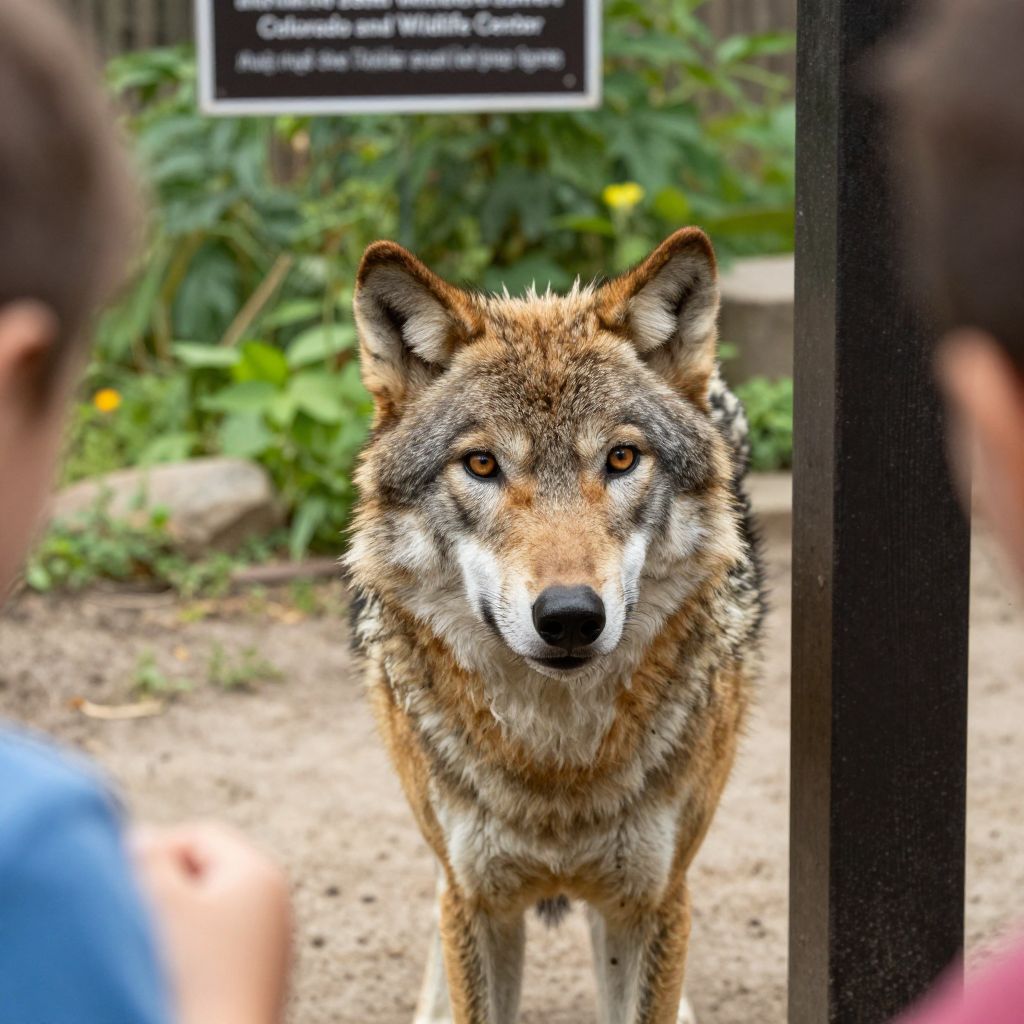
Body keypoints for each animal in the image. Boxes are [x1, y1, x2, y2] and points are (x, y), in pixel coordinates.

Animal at [346, 227, 764, 1024]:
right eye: (481, 464)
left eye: (622, 457)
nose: (570, 617)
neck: (556, 769)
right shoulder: (479, 902)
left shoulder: (652, 901)